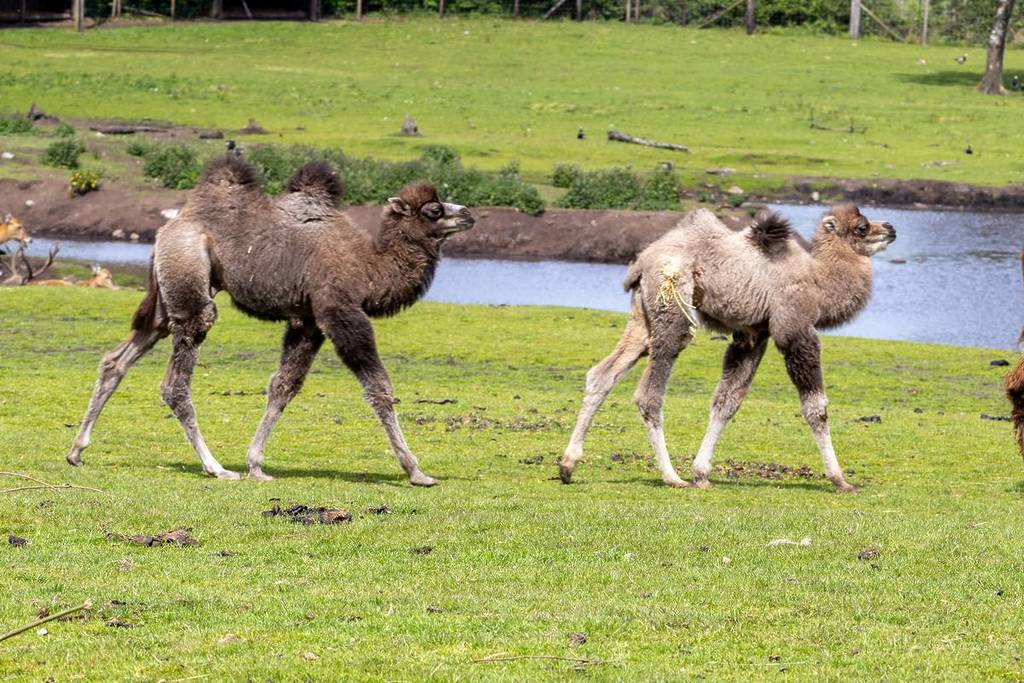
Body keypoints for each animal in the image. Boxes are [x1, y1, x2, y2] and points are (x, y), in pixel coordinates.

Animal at [65, 157, 475, 485]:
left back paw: (76, 451)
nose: (469, 214)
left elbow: (284, 385)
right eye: (434, 210)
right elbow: (379, 388)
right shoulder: (339, 310)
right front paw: (416, 471)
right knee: (176, 379)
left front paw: (256, 465)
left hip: (168, 297)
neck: (368, 266)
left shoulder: (307, 321)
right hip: (190, 279)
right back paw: (215, 467)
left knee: (119, 357)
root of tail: (168, 229)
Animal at [561, 204, 896, 492]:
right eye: (862, 227)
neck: (818, 283)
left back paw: (567, 465)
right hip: (673, 307)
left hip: (642, 318)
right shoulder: (795, 329)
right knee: (649, 394)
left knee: (603, 374)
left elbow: (726, 402)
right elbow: (816, 408)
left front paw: (701, 473)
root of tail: (641, 264)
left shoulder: (754, 335)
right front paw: (841, 480)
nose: (890, 228)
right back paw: (671, 477)